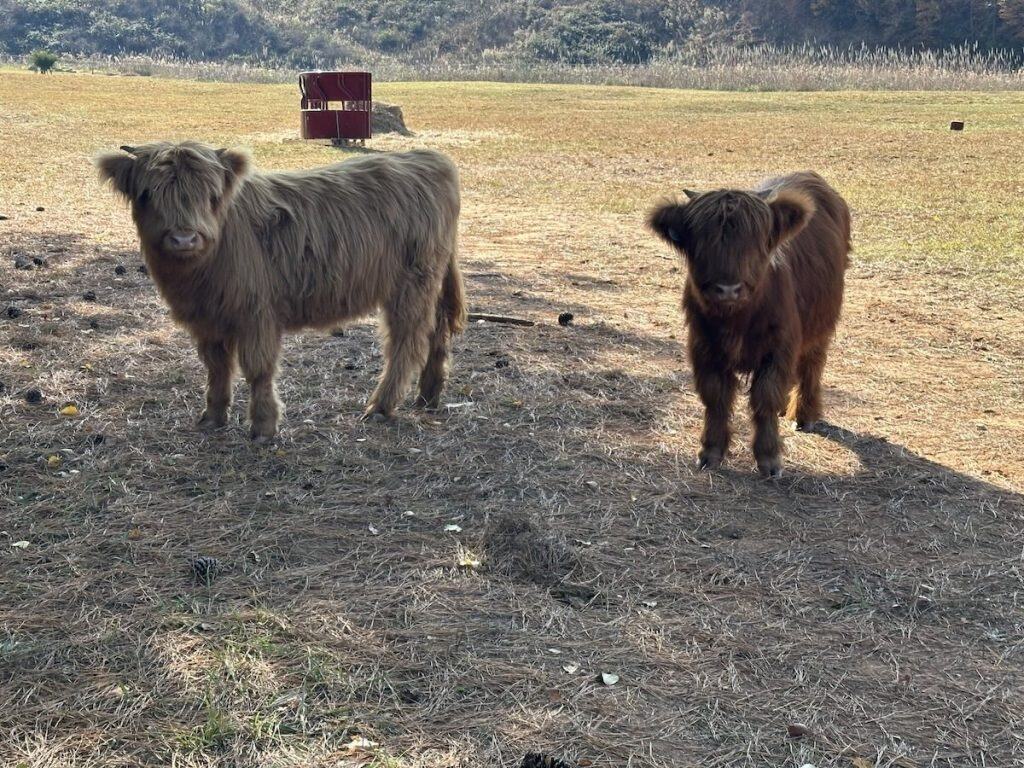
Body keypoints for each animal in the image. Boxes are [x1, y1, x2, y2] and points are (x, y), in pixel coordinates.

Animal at [97, 141, 466, 442]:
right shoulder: (207, 319)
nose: (184, 238)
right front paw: (213, 417)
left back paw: (381, 406)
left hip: (411, 285)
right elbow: (217, 366)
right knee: (437, 331)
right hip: (429, 282)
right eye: (147, 195)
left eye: (211, 196)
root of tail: (427, 158)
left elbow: (258, 369)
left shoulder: (256, 313)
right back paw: (428, 397)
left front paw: (263, 426)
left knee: (407, 341)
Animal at [648, 172, 851, 477]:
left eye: (754, 242)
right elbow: (716, 398)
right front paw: (711, 451)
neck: (737, 319)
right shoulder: (704, 347)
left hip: (822, 324)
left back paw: (804, 415)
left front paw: (769, 459)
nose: (728, 289)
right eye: (703, 241)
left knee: (812, 365)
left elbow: (765, 398)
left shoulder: (778, 348)